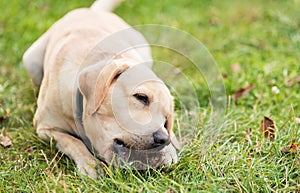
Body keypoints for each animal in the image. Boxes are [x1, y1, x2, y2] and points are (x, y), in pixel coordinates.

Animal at [23, 0, 180, 178]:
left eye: (166, 118)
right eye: (141, 97)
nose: (163, 139)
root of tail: (91, 11)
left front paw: (169, 150)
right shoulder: (45, 128)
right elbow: (73, 141)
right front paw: (90, 164)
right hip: (30, 60)